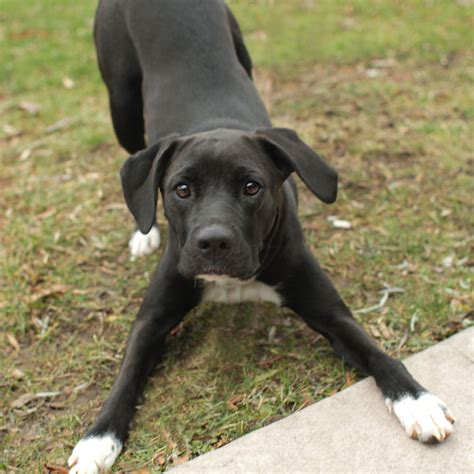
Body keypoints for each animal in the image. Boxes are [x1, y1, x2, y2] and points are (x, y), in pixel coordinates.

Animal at [67, 1, 456, 472]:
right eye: (182, 189)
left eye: (252, 187)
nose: (214, 243)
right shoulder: (151, 321)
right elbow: (125, 377)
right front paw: (97, 439)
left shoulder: (332, 315)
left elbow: (377, 352)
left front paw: (418, 402)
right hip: (121, 102)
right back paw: (144, 233)